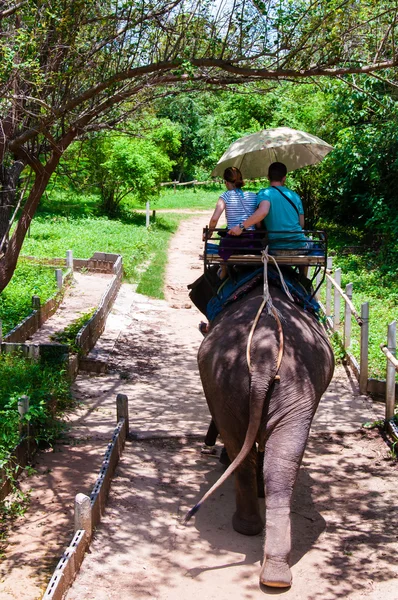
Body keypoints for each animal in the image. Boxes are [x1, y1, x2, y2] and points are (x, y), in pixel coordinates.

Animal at [185, 276, 334, 592]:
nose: (207, 445)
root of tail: (265, 352)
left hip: (233, 382)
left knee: (257, 453)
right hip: (286, 386)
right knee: (280, 458)